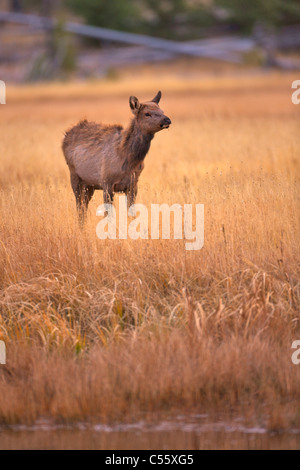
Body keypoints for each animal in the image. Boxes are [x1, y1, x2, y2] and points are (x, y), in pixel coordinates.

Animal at [62, 92, 171, 226]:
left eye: (162, 110)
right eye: (147, 114)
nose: (167, 119)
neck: (129, 160)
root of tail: (65, 136)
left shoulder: (133, 185)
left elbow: (131, 214)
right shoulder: (106, 182)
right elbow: (108, 215)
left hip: (89, 184)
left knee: (84, 206)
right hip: (74, 176)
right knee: (79, 206)